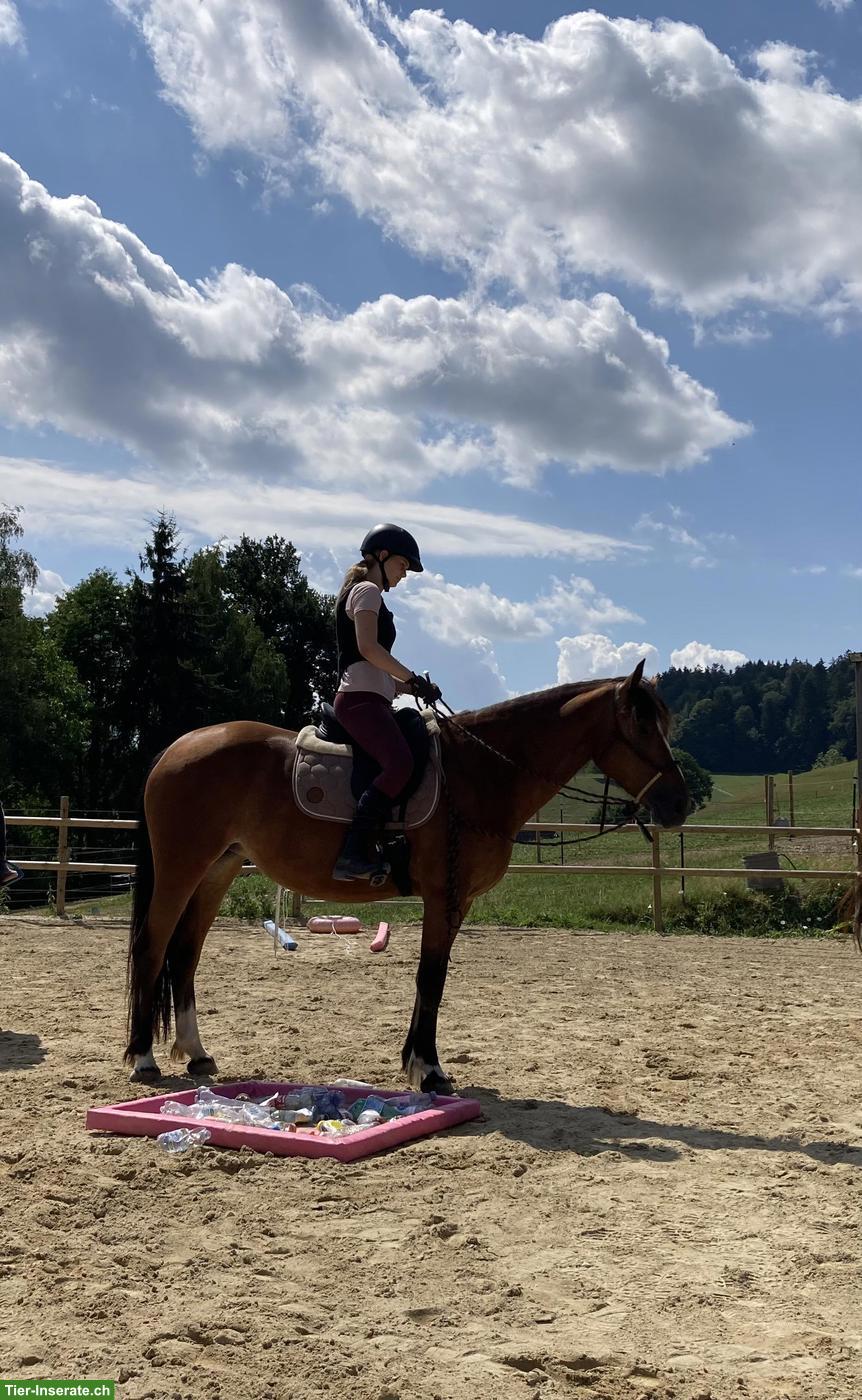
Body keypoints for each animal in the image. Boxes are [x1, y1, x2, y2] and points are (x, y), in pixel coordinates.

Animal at [125, 660, 690, 1092]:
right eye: (643, 728)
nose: (680, 803)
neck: (479, 773)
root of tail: (176, 748)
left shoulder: (456, 901)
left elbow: (430, 979)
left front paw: (416, 1064)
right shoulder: (443, 895)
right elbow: (431, 978)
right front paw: (430, 1070)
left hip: (216, 872)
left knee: (185, 955)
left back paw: (197, 1054)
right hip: (181, 869)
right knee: (153, 947)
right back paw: (142, 1058)